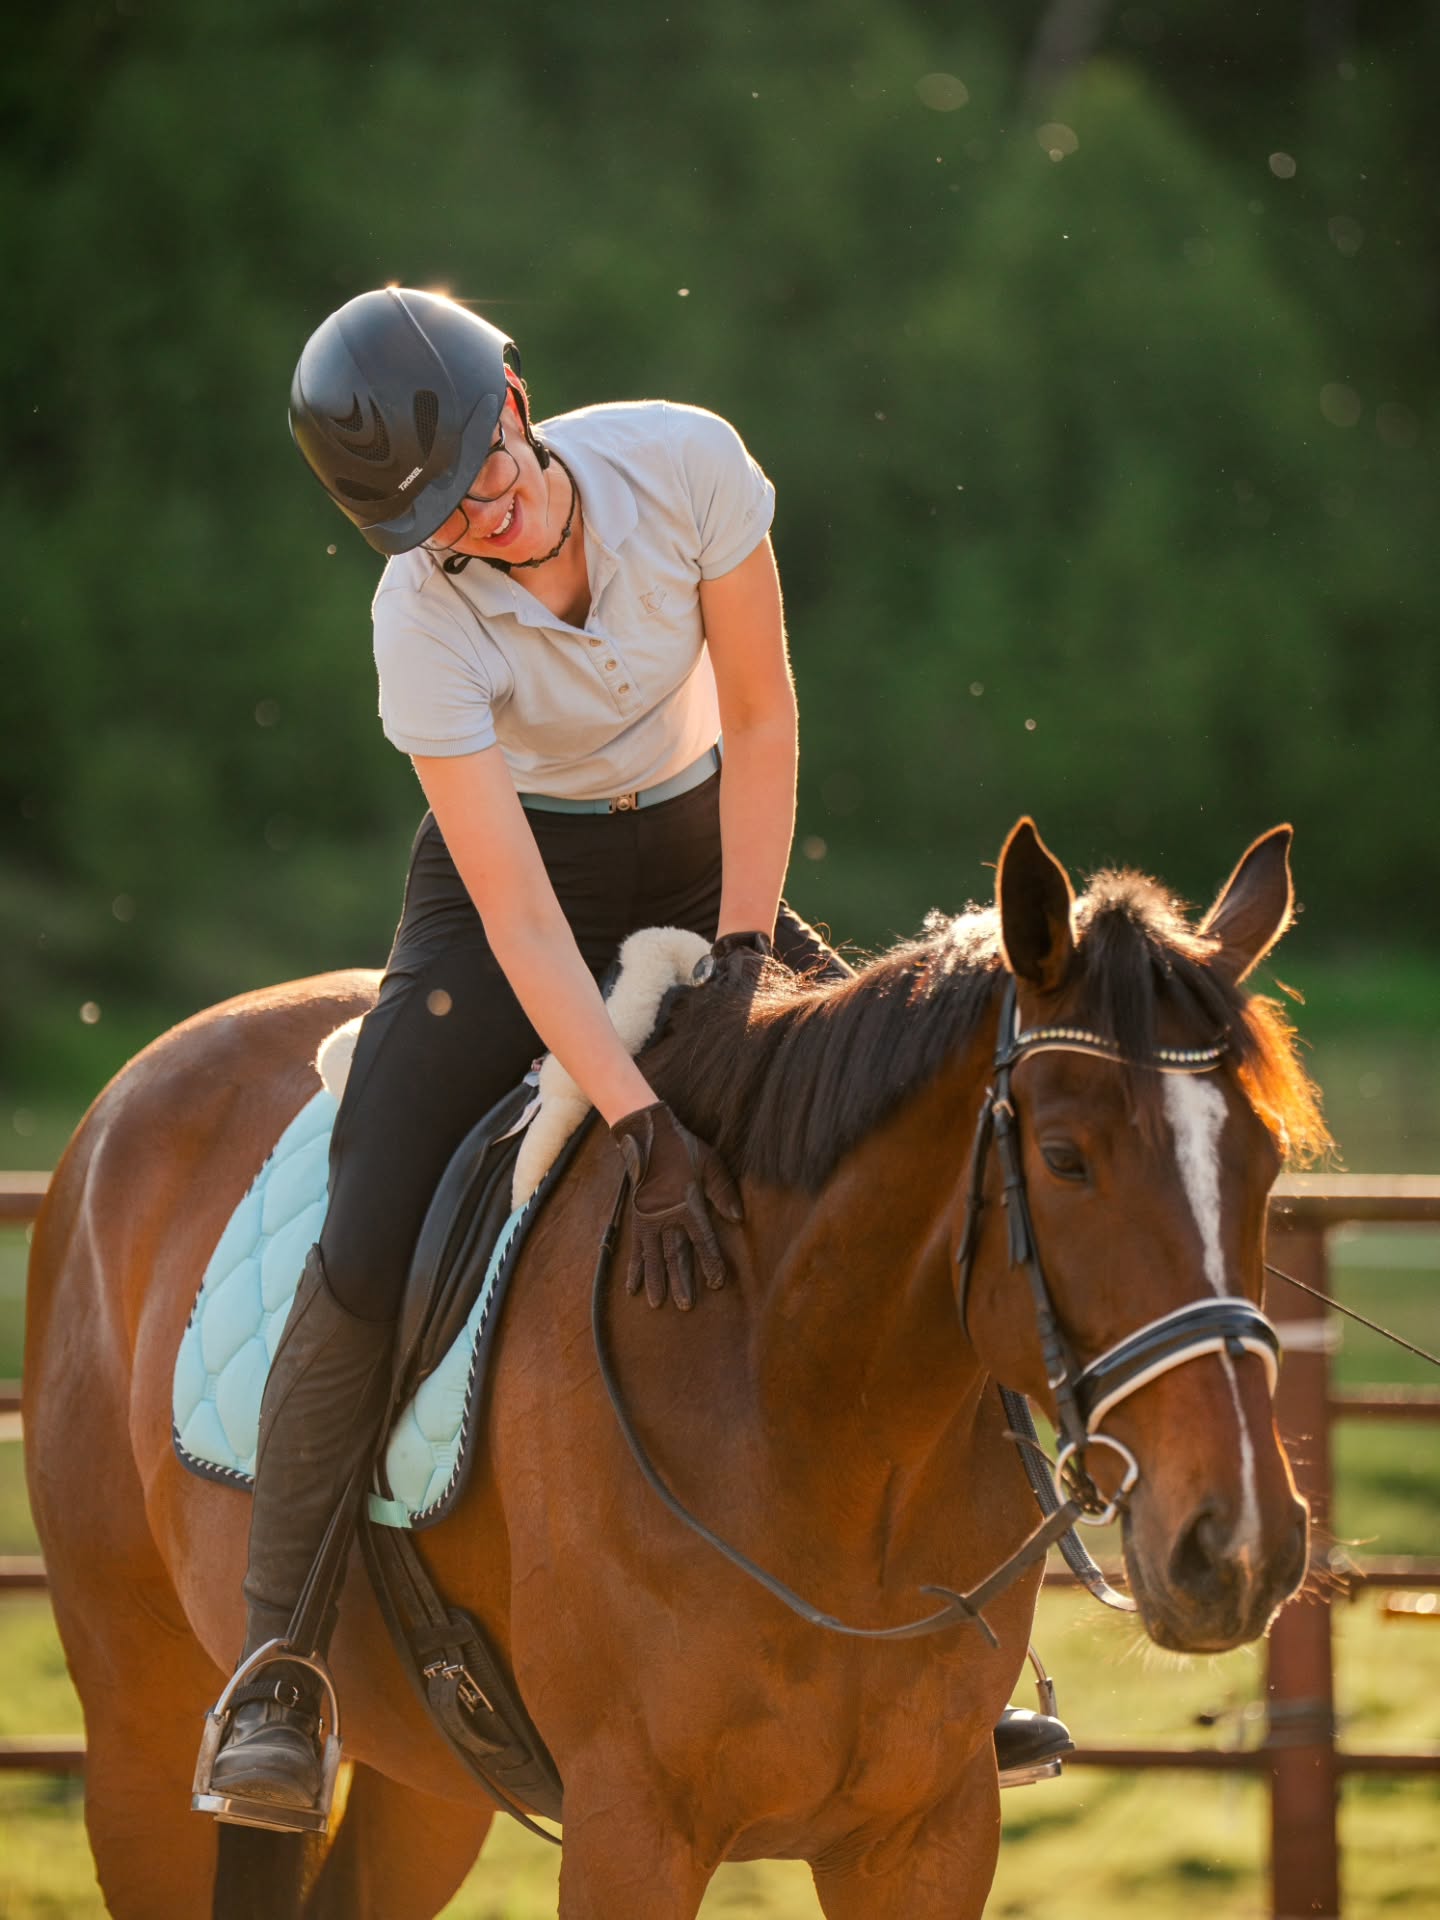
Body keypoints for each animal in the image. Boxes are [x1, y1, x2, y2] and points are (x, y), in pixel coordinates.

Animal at [24, 818, 1328, 1920]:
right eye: (1064, 1158)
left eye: (1264, 1162)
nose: (1238, 1546)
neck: (811, 1426)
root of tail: (124, 1099)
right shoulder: (633, 1831)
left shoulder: (925, 1836)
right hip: (142, 1736)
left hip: (423, 1786)